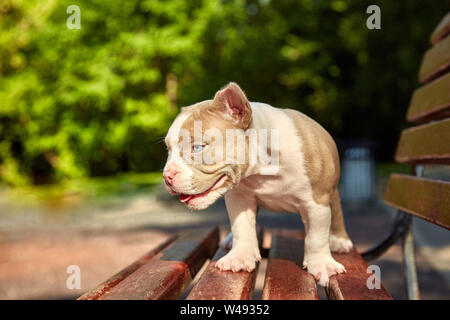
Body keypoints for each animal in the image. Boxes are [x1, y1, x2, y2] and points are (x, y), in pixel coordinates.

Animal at [163, 83, 354, 288]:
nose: (166, 175)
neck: (262, 170)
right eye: (168, 150)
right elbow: (241, 227)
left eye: (198, 148)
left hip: (331, 192)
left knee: (336, 211)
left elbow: (317, 236)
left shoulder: (316, 201)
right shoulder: (240, 198)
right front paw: (239, 257)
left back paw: (339, 241)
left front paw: (322, 263)